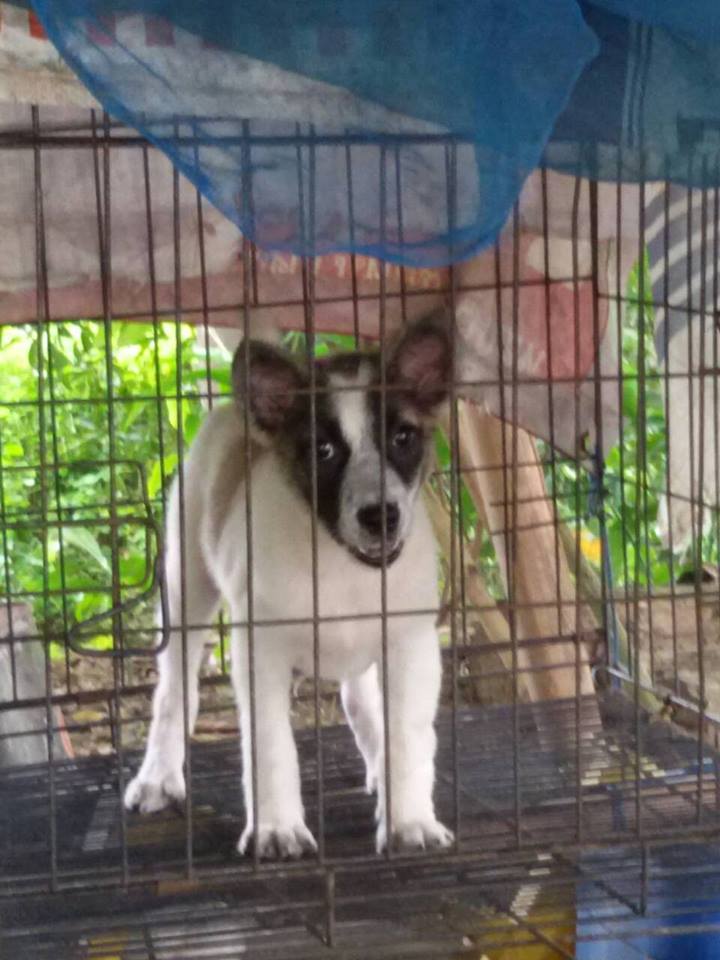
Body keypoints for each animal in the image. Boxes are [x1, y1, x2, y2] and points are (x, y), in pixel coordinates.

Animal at [124, 312, 454, 859]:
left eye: (404, 438)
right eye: (324, 450)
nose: (380, 516)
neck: (341, 566)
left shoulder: (409, 646)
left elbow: (406, 739)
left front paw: (408, 820)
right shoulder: (261, 653)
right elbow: (271, 746)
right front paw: (276, 828)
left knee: (360, 701)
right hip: (184, 587)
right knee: (174, 690)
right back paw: (158, 777)